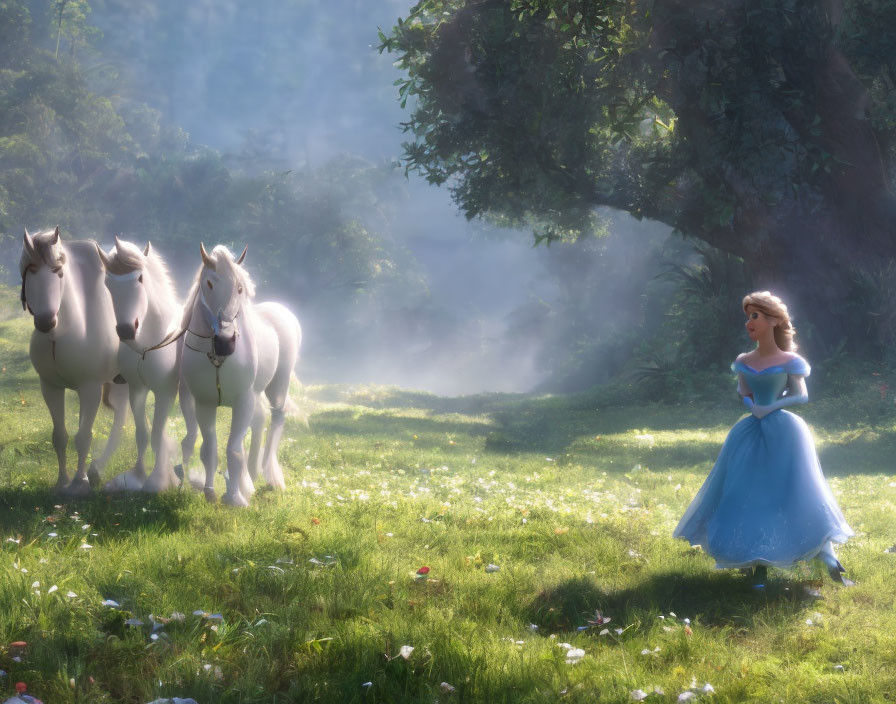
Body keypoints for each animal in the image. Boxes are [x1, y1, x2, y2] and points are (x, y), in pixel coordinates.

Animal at [19, 230, 129, 496]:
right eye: (31, 271)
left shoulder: (90, 389)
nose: (46, 321)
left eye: (58, 271)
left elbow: (83, 436)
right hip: (118, 381)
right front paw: (62, 483)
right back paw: (97, 469)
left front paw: (80, 483)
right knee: (121, 414)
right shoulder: (51, 387)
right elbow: (60, 437)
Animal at [96, 239, 187, 492]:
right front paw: (137, 476)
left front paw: (157, 480)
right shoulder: (137, 389)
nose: (126, 330)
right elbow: (143, 434)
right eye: (107, 282)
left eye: (140, 278)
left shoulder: (165, 393)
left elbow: (156, 435)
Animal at [158, 243, 300, 506]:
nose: (225, 342)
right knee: (259, 421)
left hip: (278, 385)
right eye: (209, 283)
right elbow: (209, 448)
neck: (218, 361)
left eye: (240, 287)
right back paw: (251, 477)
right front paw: (210, 492)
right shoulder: (205, 403)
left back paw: (269, 475)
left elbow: (233, 450)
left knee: (276, 417)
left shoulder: (243, 401)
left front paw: (235, 498)